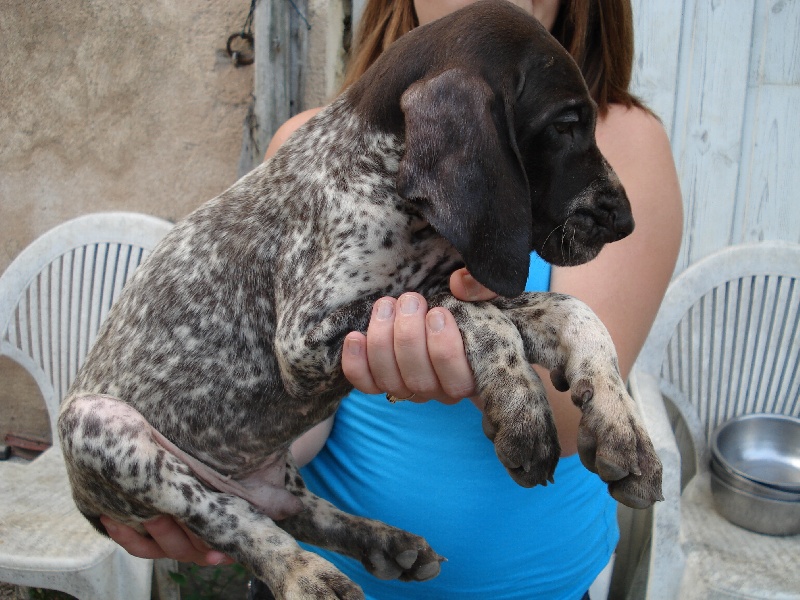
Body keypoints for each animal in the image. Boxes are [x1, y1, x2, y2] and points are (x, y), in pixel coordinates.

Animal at [59, 2, 664, 596]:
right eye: (566, 124)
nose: (627, 222)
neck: (384, 179)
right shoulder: (302, 339)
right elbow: (459, 307)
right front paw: (521, 405)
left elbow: (570, 310)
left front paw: (620, 423)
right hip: (100, 428)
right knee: (233, 518)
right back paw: (305, 574)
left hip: (269, 479)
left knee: (297, 509)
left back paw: (384, 543)